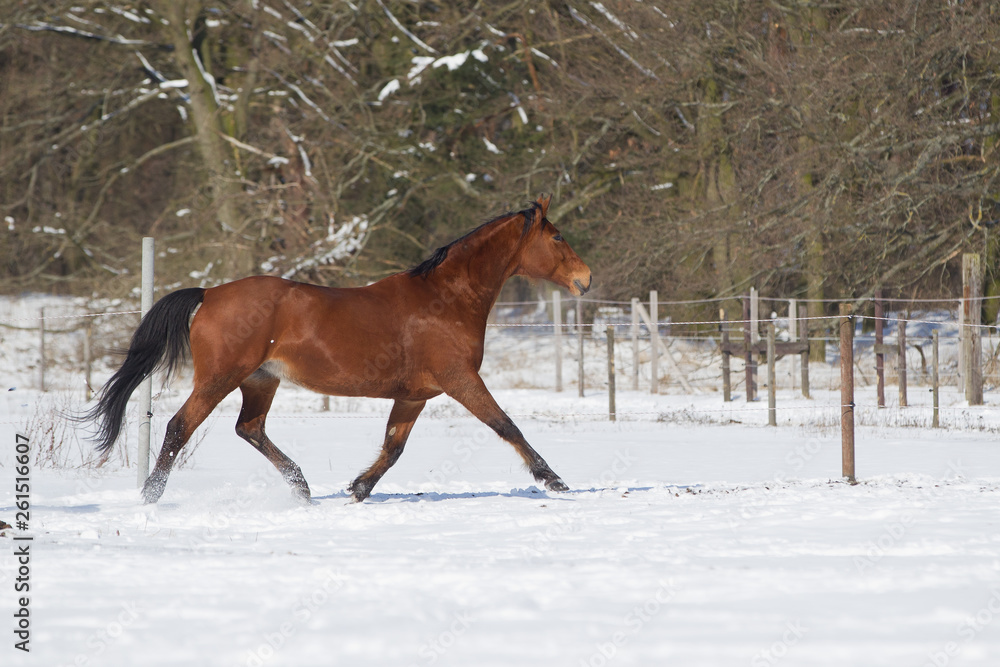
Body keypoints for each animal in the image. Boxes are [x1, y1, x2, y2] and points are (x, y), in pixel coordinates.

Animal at [86, 196, 588, 504]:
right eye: (558, 236)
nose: (585, 280)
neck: (446, 299)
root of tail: (209, 293)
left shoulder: (414, 395)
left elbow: (393, 446)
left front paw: (359, 488)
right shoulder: (460, 379)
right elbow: (506, 425)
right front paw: (555, 480)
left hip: (260, 380)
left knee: (249, 428)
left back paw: (302, 487)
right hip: (220, 377)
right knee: (179, 426)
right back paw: (151, 496)